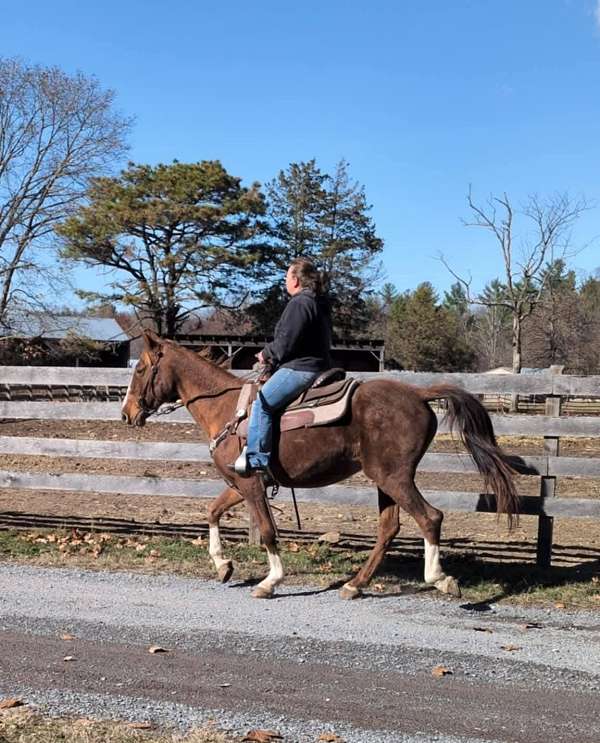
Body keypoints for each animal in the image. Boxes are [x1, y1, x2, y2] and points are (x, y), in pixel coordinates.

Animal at [121, 330, 519, 600]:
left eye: (140, 370)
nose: (126, 414)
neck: (227, 409)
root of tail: (419, 394)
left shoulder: (250, 486)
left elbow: (267, 531)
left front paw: (270, 581)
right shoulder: (242, 482)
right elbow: (212, 511)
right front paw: (223, 565)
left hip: (394, 477)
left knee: (430, 517)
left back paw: (440, 579)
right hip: (385, 480)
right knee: (389, 528)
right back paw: (355, 585)